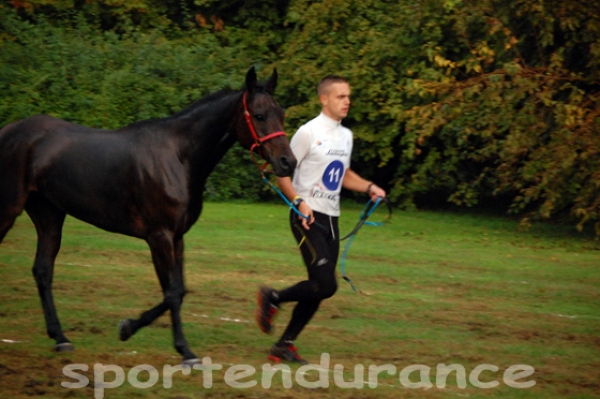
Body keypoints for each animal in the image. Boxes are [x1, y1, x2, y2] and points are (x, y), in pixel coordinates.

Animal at [0, 66, 296, 366]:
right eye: (259, 115)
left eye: (281, 113)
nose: (288, 162)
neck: (177, 157)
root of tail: (8, 131)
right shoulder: (159, 236)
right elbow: (173, 293)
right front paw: (185, 351)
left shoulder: (177, 237)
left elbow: (178, 290)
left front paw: (128, 327)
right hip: (9, 210)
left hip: (49, 216)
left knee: (43, 271)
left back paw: (60, 338)